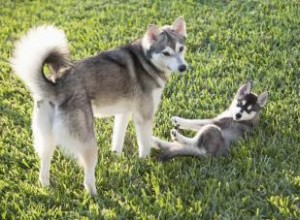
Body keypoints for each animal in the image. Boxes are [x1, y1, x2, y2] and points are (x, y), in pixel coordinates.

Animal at [11, 17, 188, 196]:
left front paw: (116, 156)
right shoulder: (144, 117)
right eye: (166, 53)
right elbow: (144, 144)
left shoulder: (124, 113)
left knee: (44, 162)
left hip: (46, 138)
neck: (146, 61)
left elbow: (118, 137)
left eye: (180, 49)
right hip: (88, 140)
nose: (183, 68)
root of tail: (56, 86)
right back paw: (94, 195)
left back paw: (45, 185)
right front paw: (145, 163)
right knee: (88, 175)